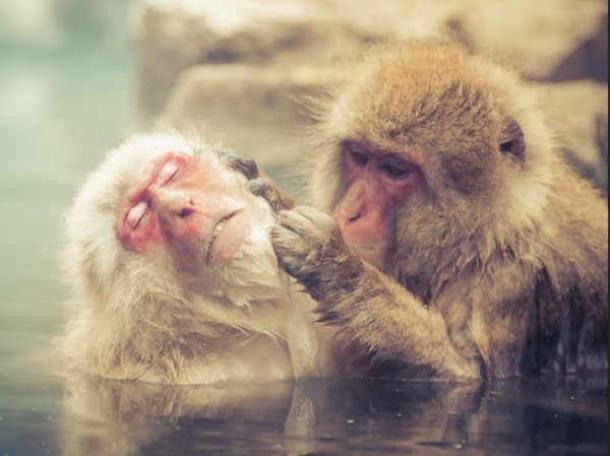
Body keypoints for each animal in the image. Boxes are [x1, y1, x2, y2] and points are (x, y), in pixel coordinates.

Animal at [268, 42, 604, 378]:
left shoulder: (509, 278)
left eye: (395, 170)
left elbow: (470, 373)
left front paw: (332, 263)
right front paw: (275, 198)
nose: (349, 213)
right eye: (360, 157)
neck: (485, 239)